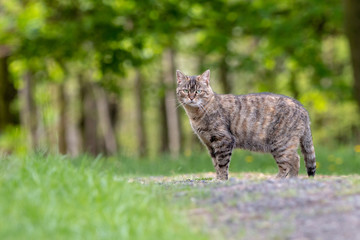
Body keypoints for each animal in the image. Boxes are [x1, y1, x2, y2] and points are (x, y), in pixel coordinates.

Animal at [176, 69, 316, 180]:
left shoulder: (223, 140)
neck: (196, 115)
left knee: (291, 162)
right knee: (295, 161)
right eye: (185, 90)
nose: (191, 97)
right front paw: (217, 178)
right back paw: (292, 179)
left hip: (281, 144)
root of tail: (303, 109)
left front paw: (221, 180)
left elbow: (222, 164)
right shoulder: (209, 144)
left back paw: (279, 179)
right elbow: (215, 164)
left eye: (199, 91)